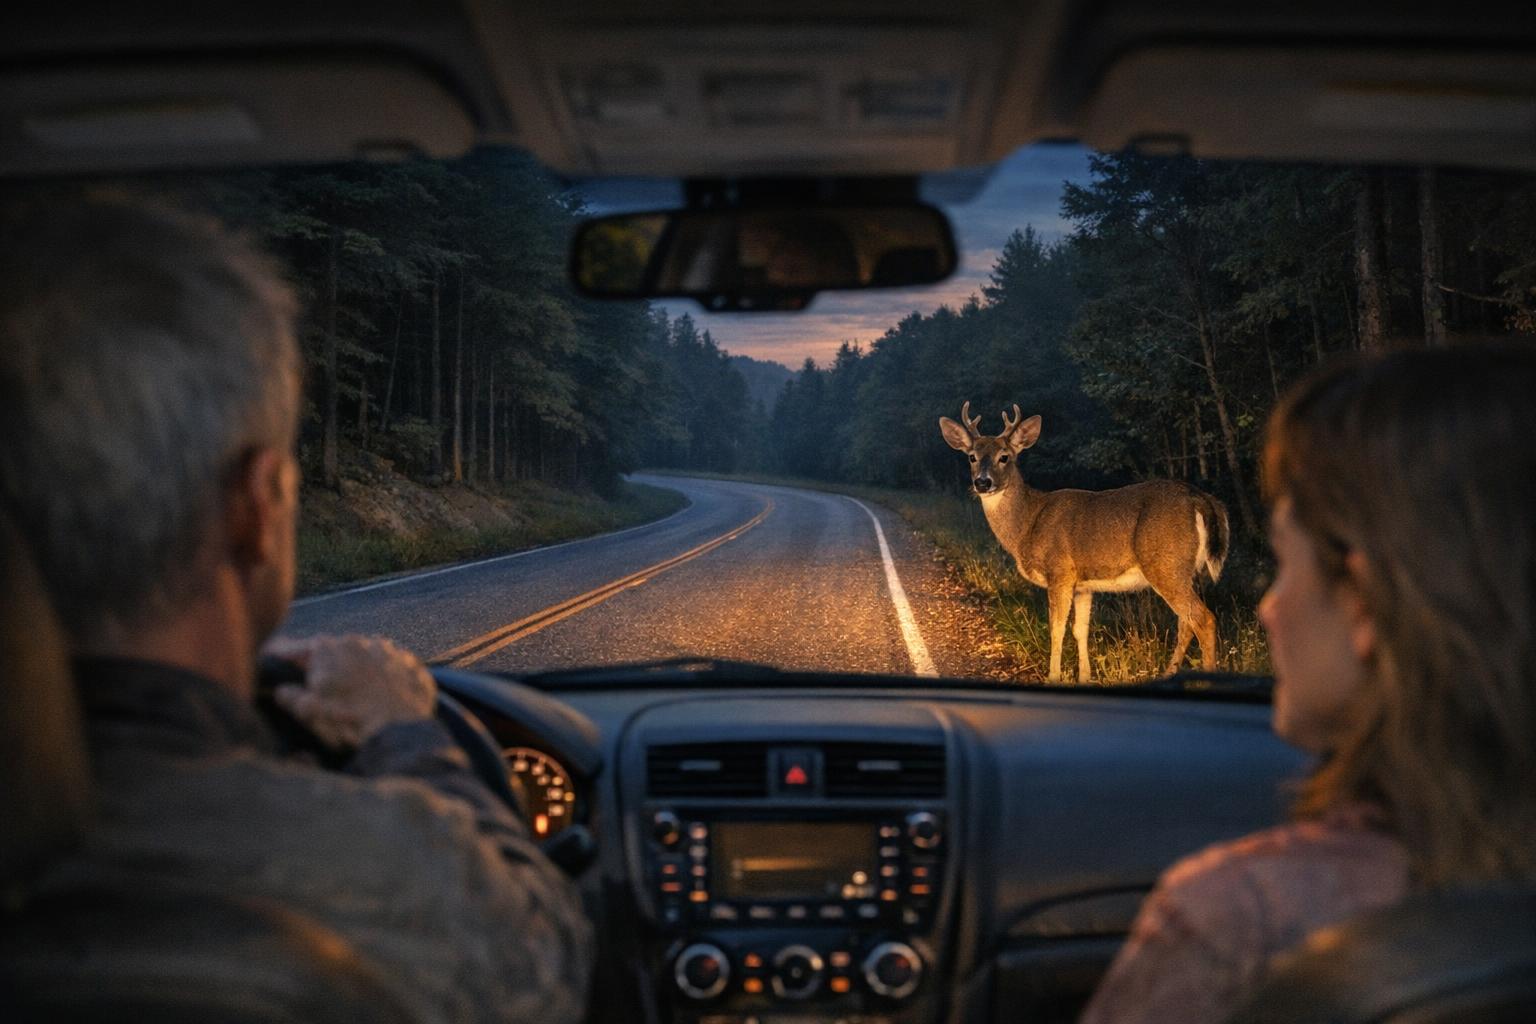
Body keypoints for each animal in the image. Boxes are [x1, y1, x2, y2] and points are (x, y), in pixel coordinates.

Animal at [940, 402, 1229, 683]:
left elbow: (1056, 629)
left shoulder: (1060, 571)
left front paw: (1053, 677)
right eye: (972, 456)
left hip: (1166, 564)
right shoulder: (1083, 585)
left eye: (1004, 457)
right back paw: (1168, 673)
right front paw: (1085, 677)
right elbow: (1080, 630)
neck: (1028, 523)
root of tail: (1201, 499)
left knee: (1203, 619)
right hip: (1183, 570)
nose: (982, 482)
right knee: (1186, 622)